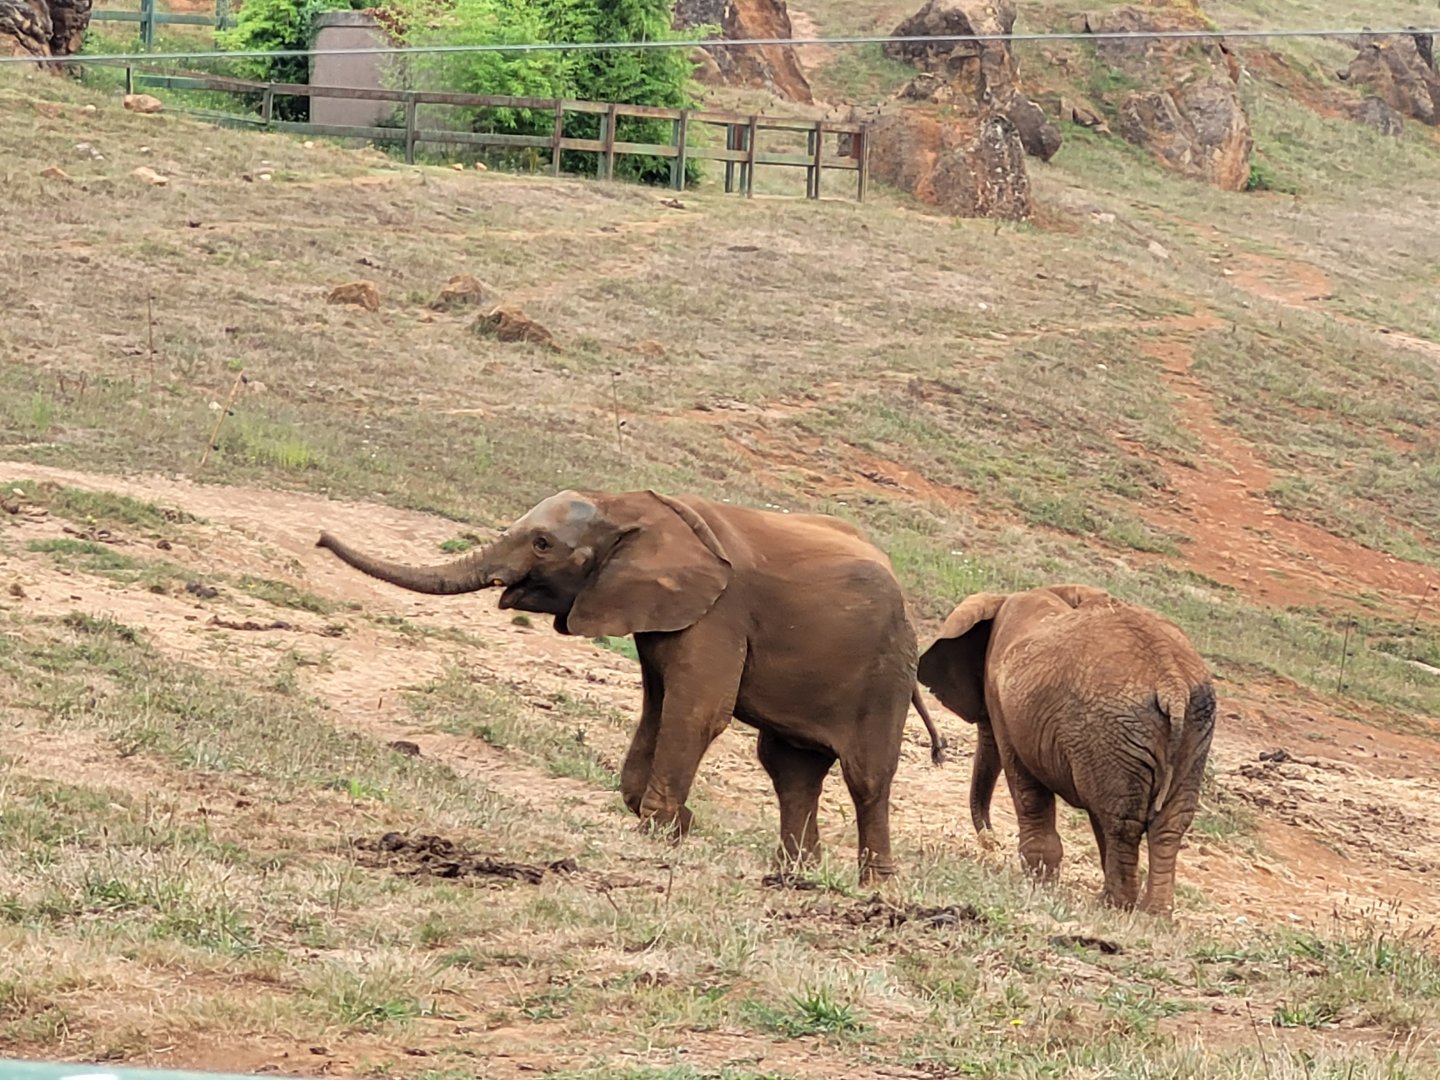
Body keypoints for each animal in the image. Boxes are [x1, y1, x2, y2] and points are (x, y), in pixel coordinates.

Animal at [316, 488, 947, 883]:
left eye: (542, 544)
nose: (321, 537)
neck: (629, 508)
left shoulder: (719, 612)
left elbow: (698, 711)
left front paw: (664, 831)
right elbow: (658, 702)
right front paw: (671, 825)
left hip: (887, 671)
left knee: (866, 777)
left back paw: (875, 889)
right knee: (791, 770)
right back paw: (796, 875)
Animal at [916, 584, 1216, 915]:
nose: (992, 844)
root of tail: (1172, 684)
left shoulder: (1006, 706)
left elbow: (1025, 782)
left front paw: (1039, 880)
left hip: (1118, 730)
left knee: (1122, 822)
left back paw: (1114, 905)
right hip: (1181, 734)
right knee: (1165, 824)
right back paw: (1151, 913)